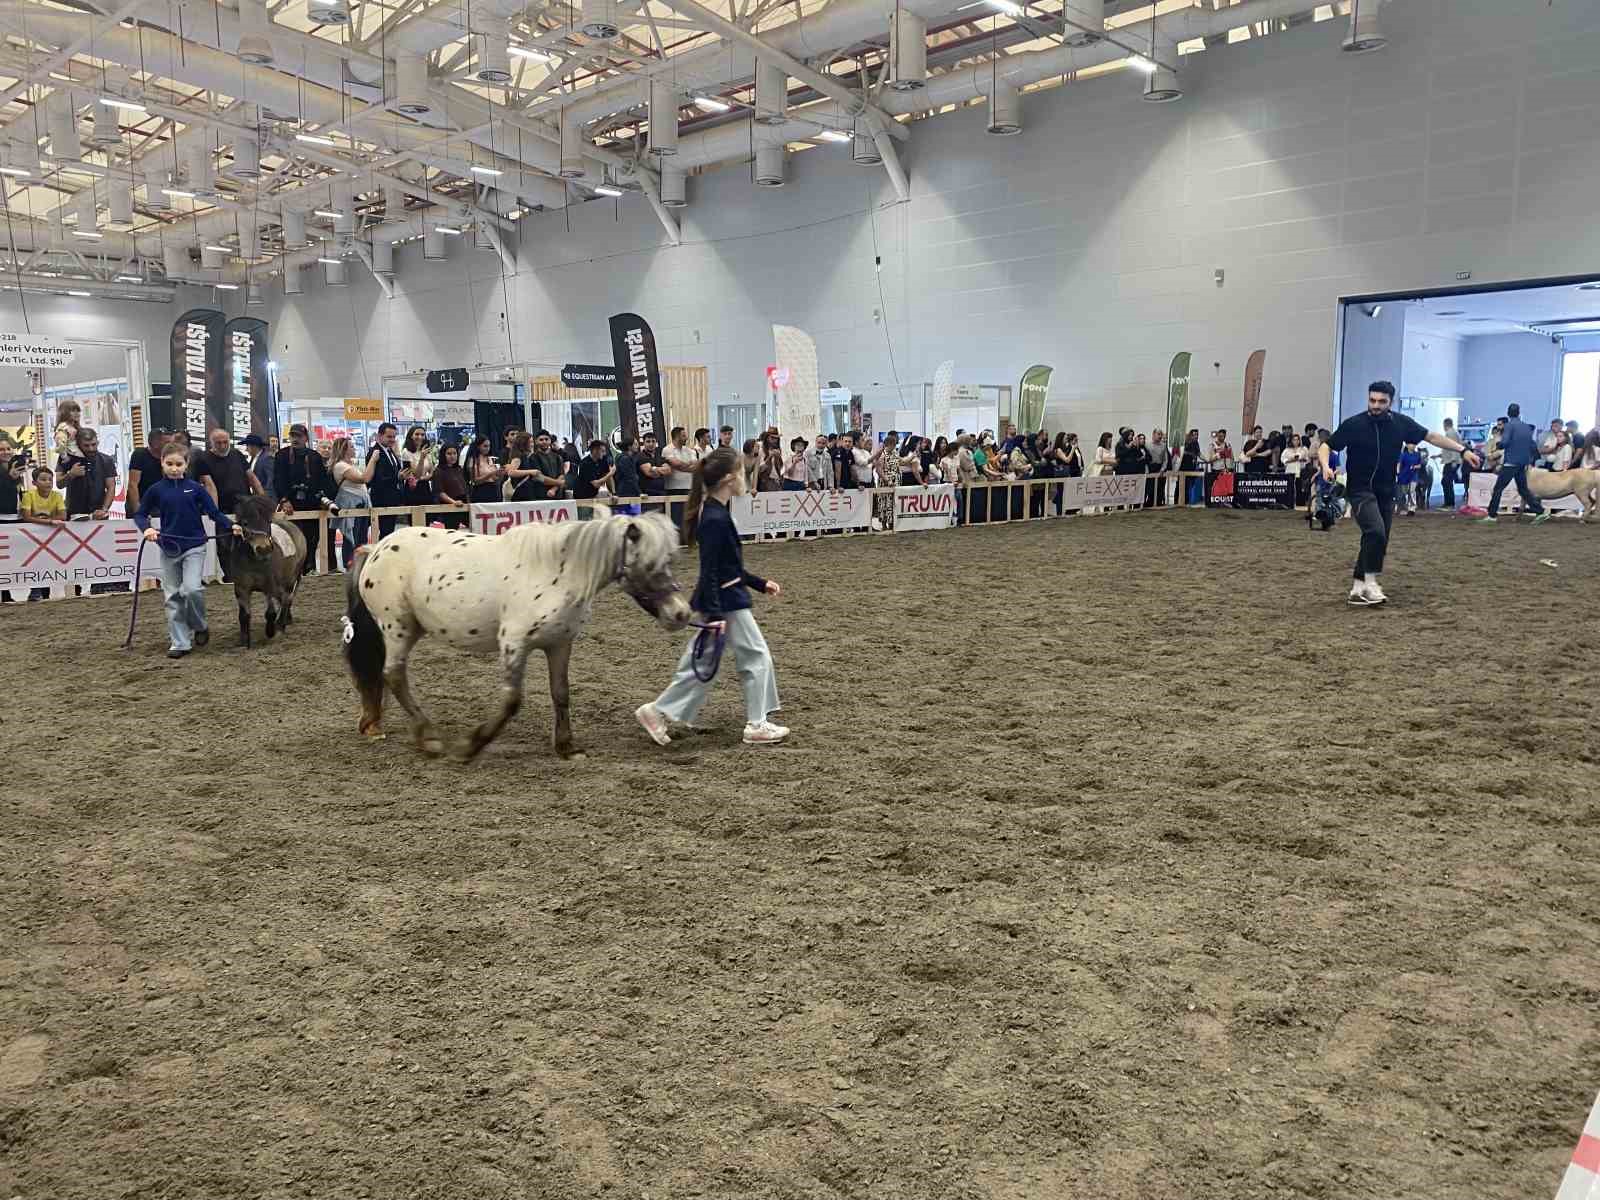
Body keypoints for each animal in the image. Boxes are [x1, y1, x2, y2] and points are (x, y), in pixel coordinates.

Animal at [227, 496, 310, 652]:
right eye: (245, 522)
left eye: (268, 521)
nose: (263, 549)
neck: (253, 561)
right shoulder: (241, 588)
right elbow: (244, 615)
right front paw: (244, 641)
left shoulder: (269, 587)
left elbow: (270, 613)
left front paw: (271, 631)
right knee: (283, 599)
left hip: (290, 580)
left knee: (286, 599)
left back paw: (281, 625)